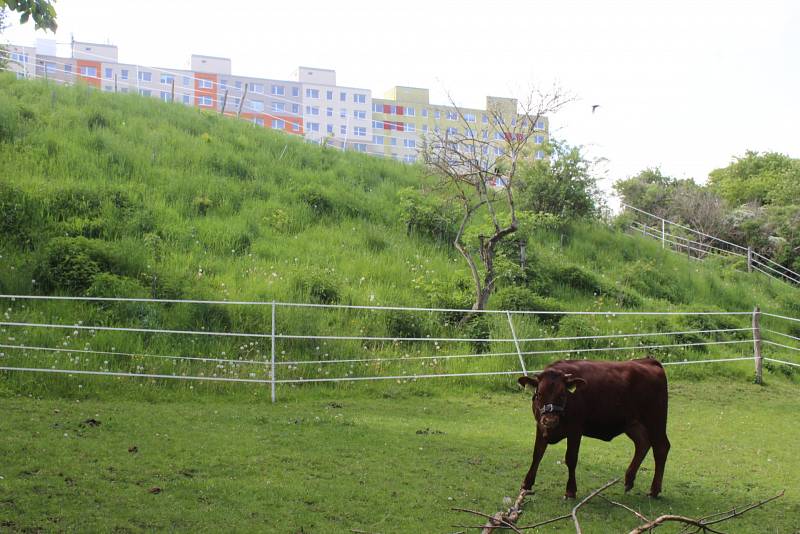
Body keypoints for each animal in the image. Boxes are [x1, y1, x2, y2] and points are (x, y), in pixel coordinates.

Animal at [520, 358, 668, 500]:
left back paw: (654, 490)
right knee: (643, 444)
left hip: (656, 421)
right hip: (633, 424)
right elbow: (537, 454)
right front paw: (526, 484)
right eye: (539, 394)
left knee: (661, 448)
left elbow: (571, 458)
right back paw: (629, 480)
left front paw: (570, 491)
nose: (550, 420)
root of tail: (648, 361)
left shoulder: (575, 430)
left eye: (562, 394)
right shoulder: (540, 427)